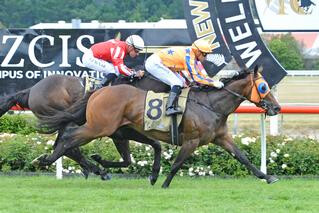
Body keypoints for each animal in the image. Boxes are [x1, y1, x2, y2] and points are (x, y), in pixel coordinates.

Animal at [0, 72, 170, 182]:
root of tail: (31, 90)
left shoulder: (122, 132)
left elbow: (129, 159)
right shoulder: (119, 132)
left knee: (65, 146)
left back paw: (93, 169)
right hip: (65, 117)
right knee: (67, 145)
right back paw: (95, 170)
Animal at [33, 65, 282, 188]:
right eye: (263, 87)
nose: (277, 107)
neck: (211, 105)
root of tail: (99, 91)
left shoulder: (221, 138)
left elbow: (243, 158)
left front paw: (267, 177)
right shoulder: (191, 140)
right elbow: (177, 164)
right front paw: (163, 184)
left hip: (115, 129)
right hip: (99, 127)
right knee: (69, 137)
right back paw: (46, 160)